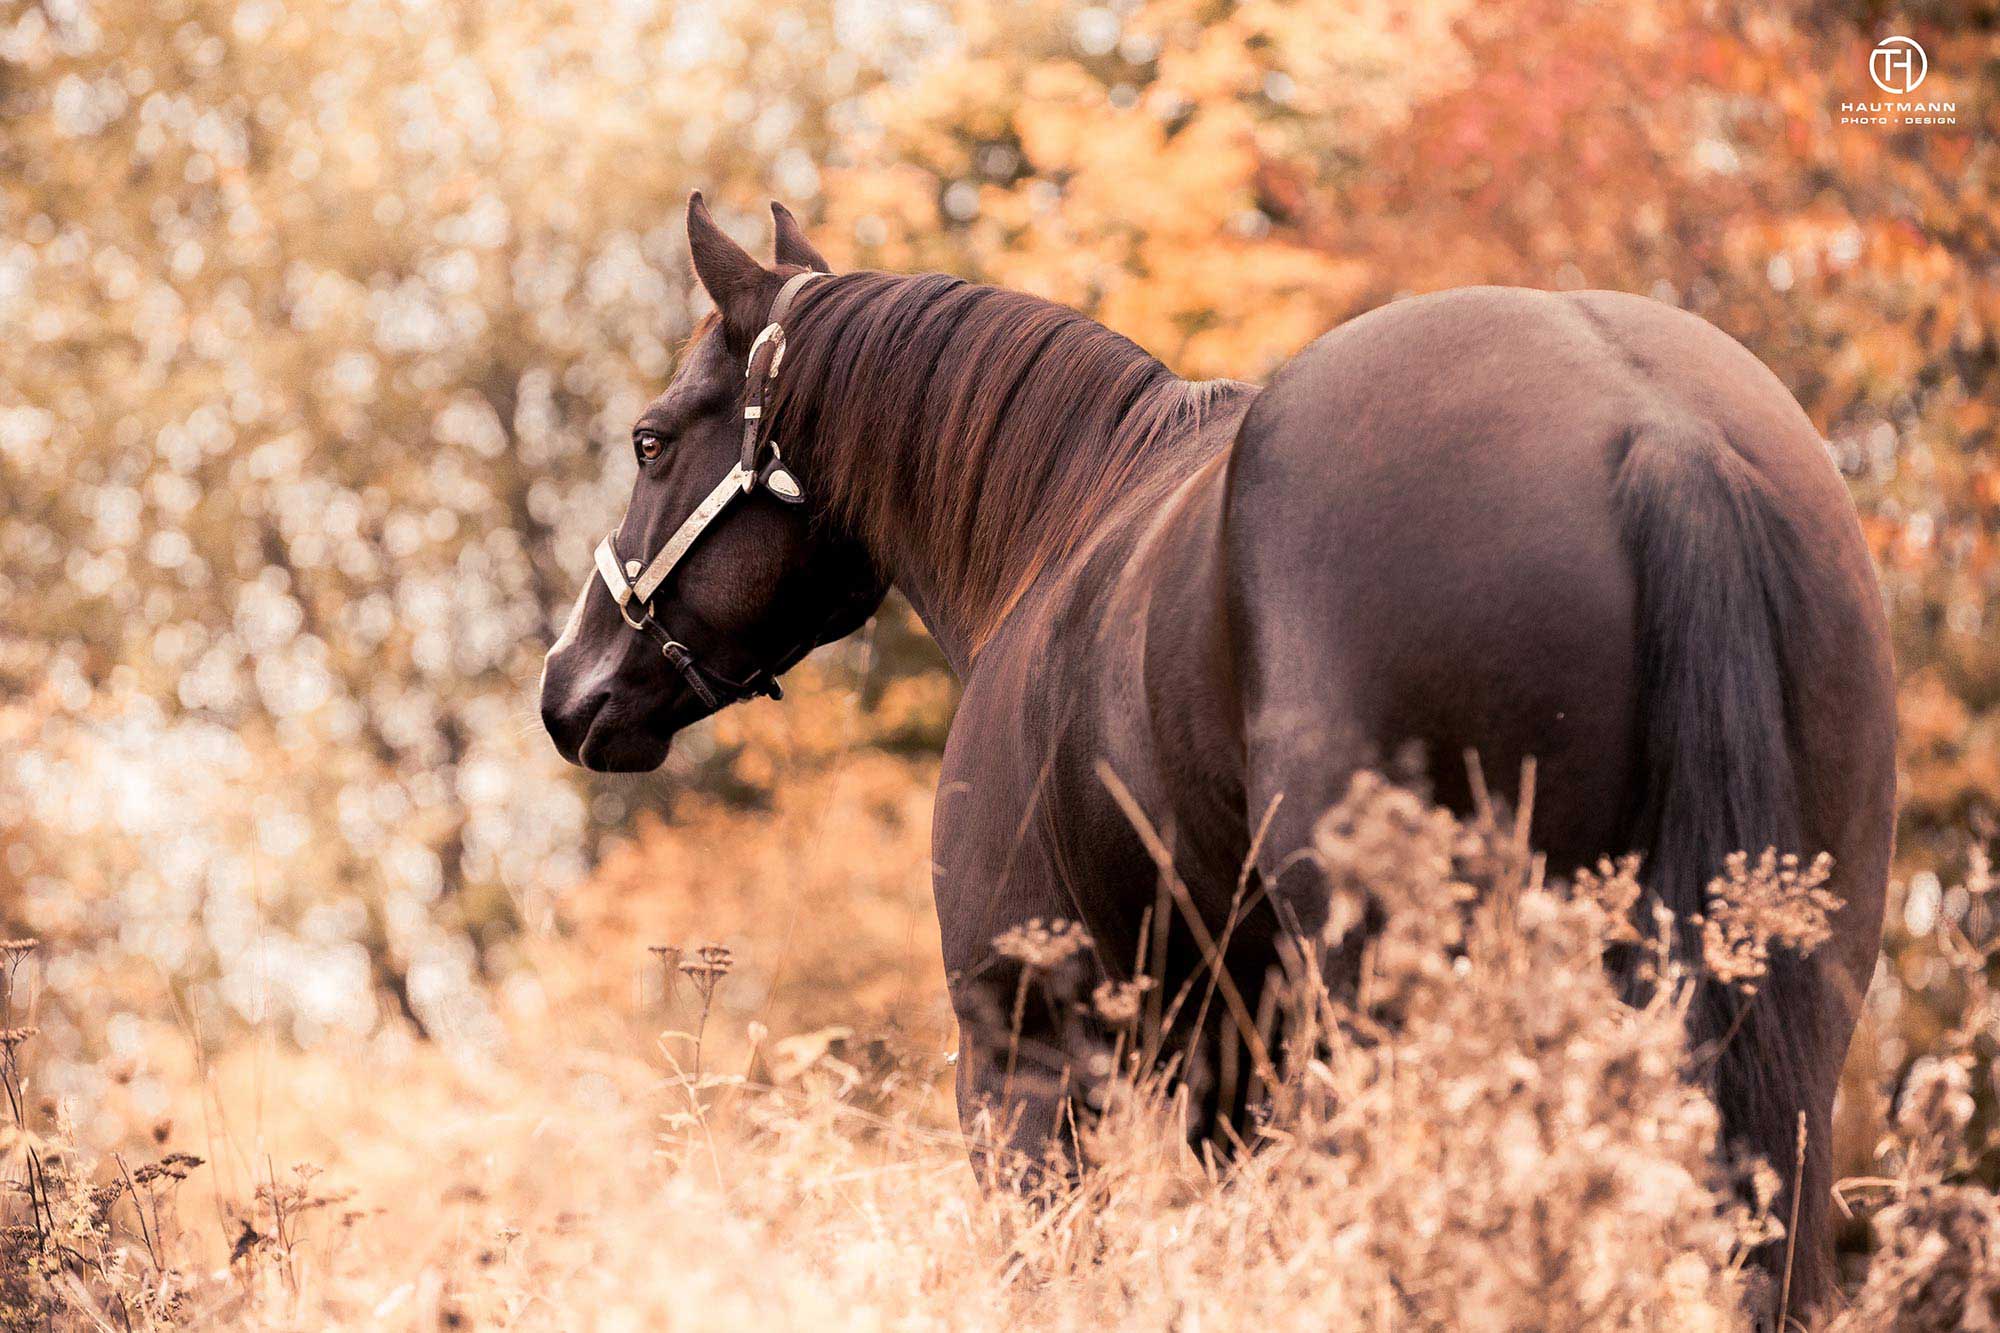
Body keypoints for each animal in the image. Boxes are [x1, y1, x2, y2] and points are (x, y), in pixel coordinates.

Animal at [544, 197, 1888, 1304]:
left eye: (650, 441)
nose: (567, 687)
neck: (1061, 517)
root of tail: (1658, 430)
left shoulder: (1023, 1049)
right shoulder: (1230, 1069)